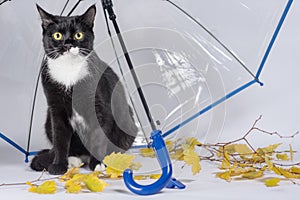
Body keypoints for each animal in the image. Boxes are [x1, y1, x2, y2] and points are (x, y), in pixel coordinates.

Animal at [29, 3, 138, 174]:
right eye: (57, 35)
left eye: (78, 35)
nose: (68, 44)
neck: (69, 72)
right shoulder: (56, 108)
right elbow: (60, 139)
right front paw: (58, 165)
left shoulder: (100, 106)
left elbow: (98, 136)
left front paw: (98, 163)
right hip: (48, 120)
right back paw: (72, 160)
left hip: (127, 123)